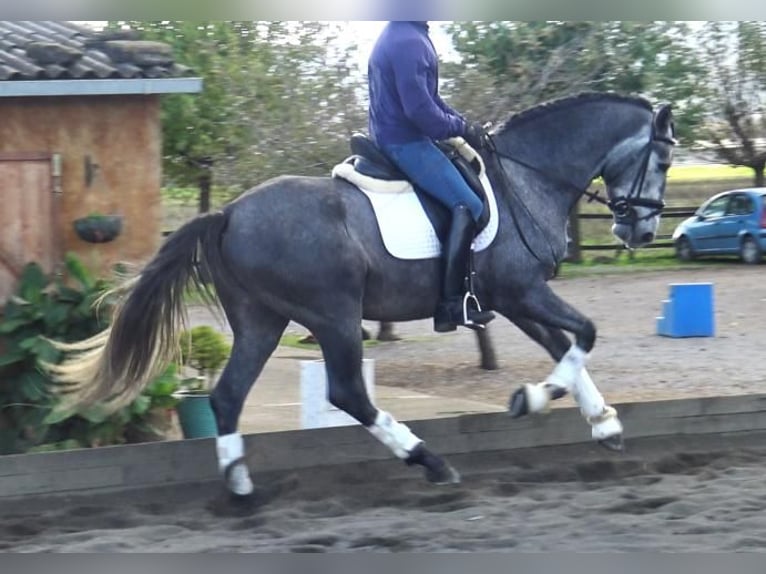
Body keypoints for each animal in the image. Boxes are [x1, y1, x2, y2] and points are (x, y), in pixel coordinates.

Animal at [49, 92, 680, 498]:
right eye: (666, 156)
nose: (641, 231)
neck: (527, 178)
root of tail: (228, 213)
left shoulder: (513, 297)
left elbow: (563, 348)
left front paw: (602, 423)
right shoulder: (521, 290)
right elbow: (583, 336)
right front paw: (531, 400)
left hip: (262, 320)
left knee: (228, 396)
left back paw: (241, 486)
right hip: (333, 314)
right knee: (348, 392)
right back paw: (429, 462)